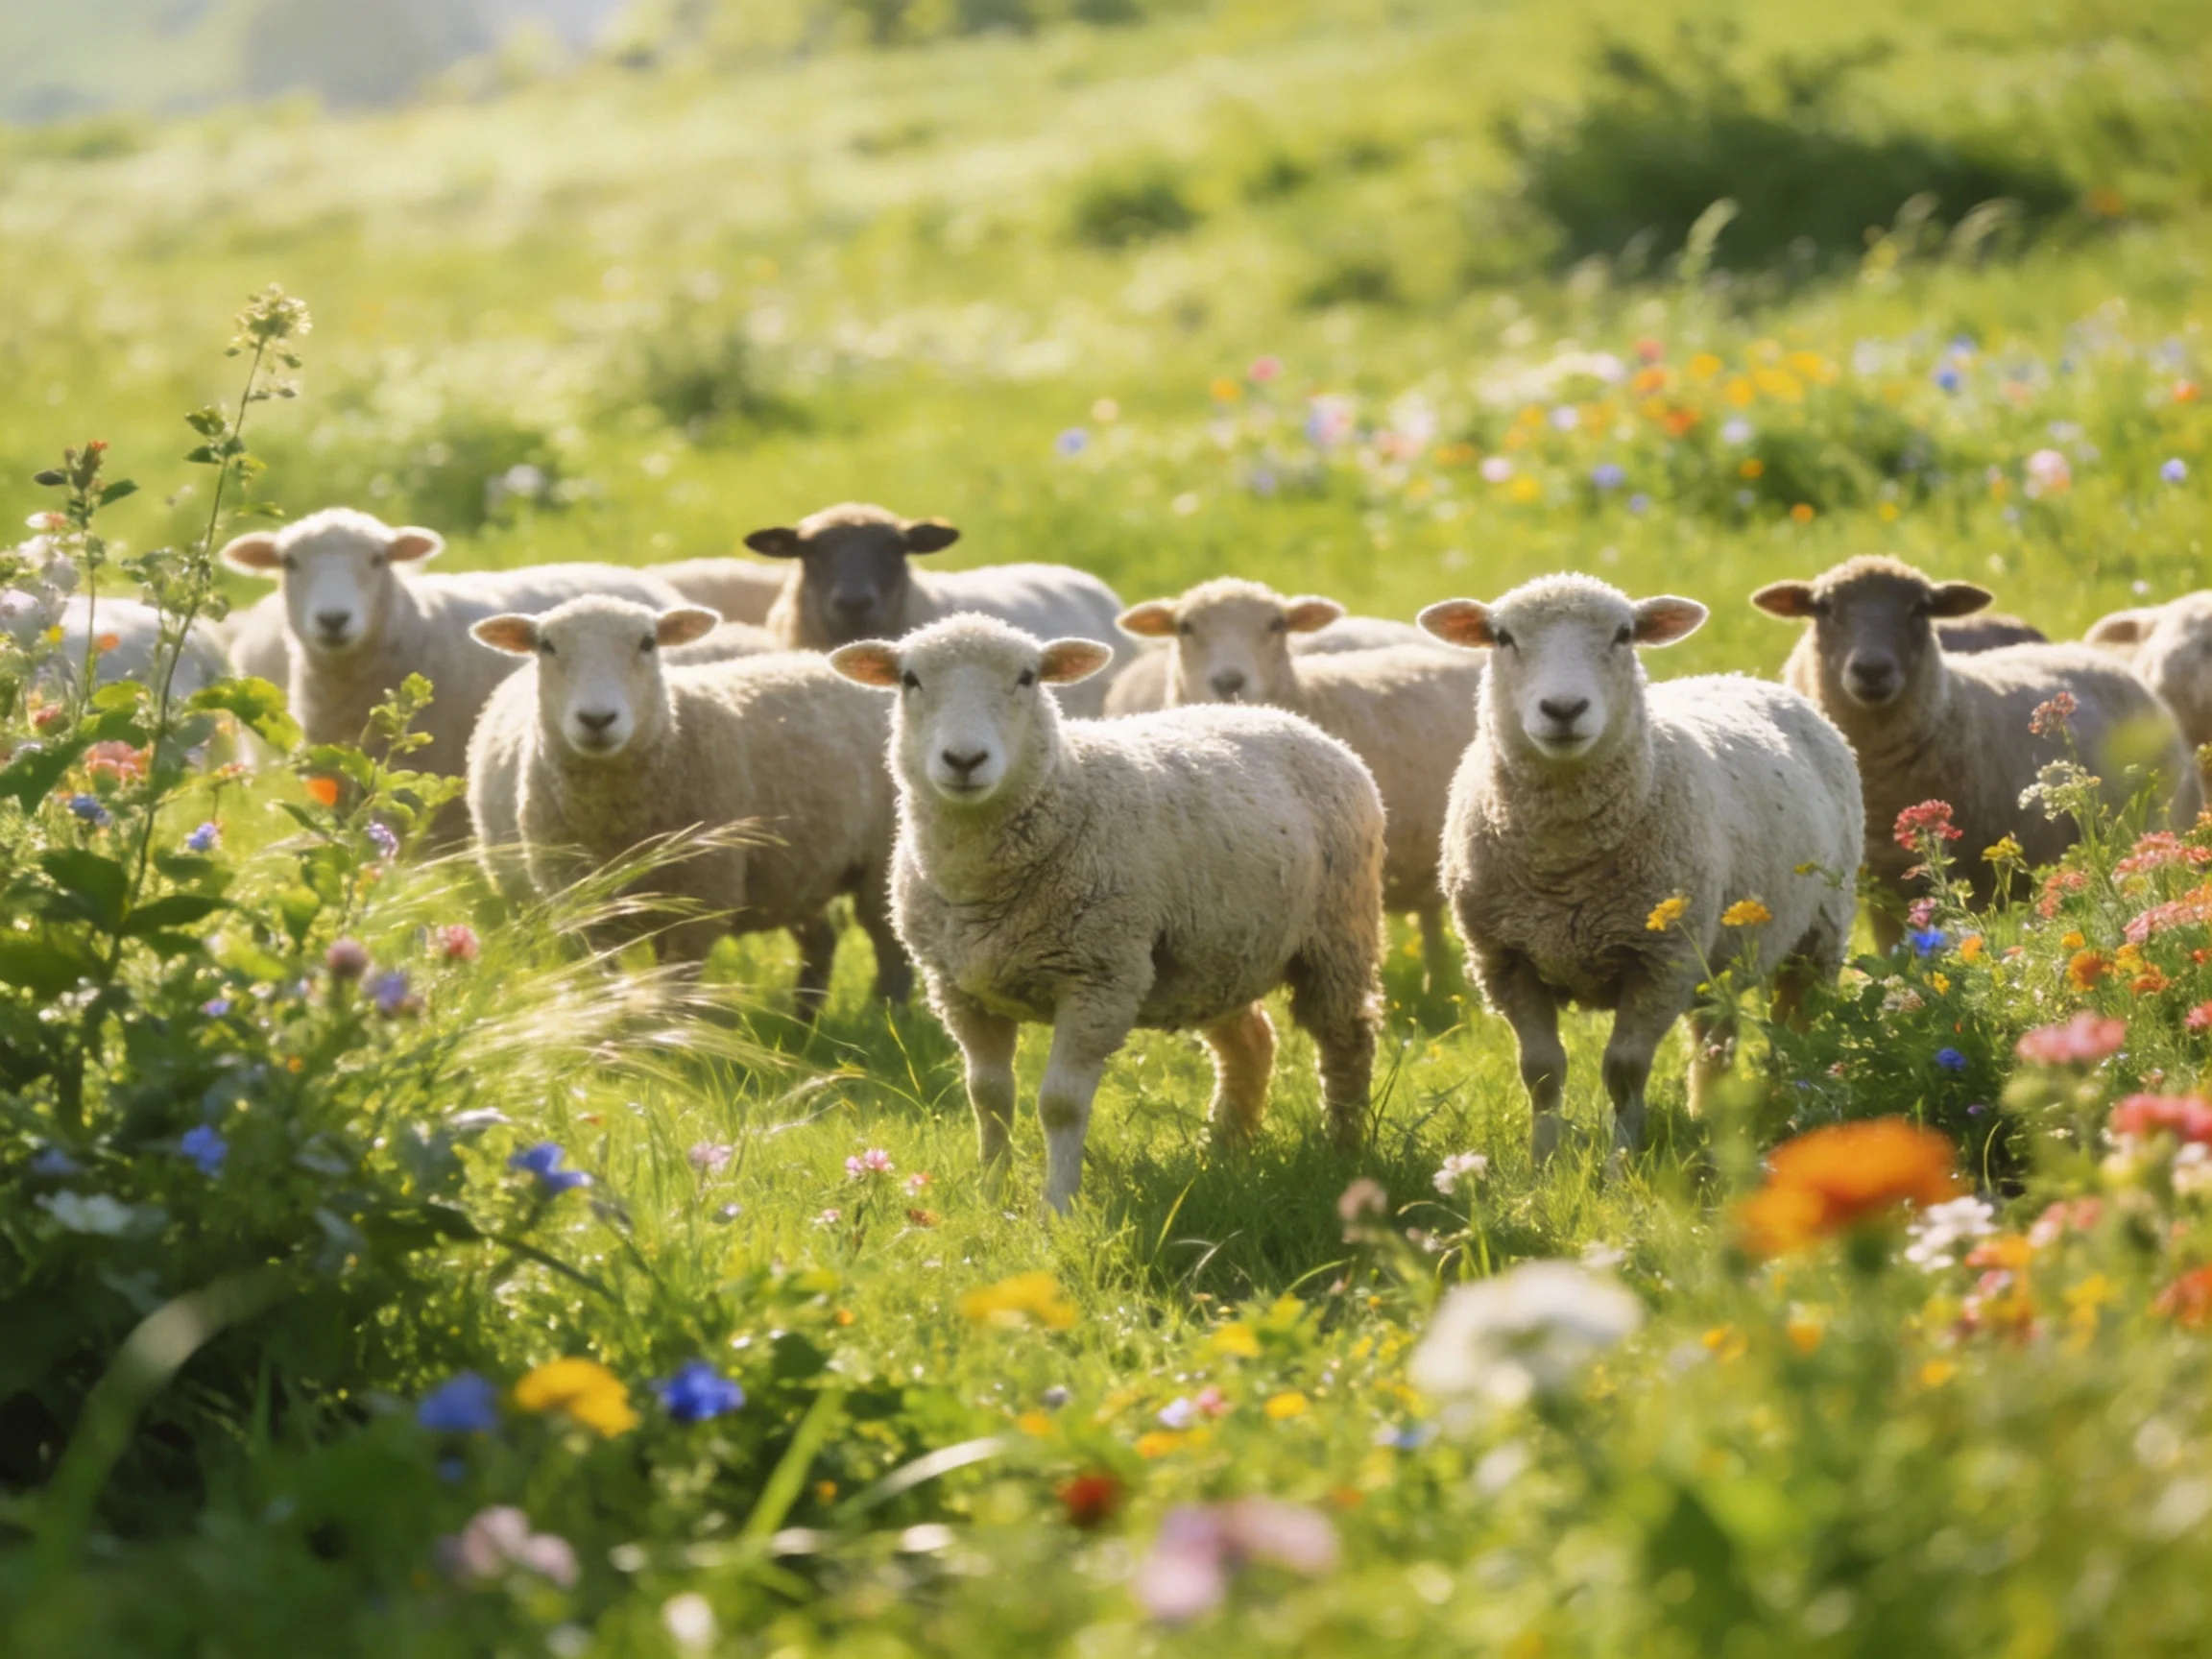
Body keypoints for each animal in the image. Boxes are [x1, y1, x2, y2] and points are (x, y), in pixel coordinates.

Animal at [465, 596, 910, 1012]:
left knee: (890, 949)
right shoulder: (584, 908)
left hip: (880, 861)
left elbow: (672, 1000)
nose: (597, 720)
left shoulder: (698, 902)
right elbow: (606, 988)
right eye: (547, 645)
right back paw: (804, 1019)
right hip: (800, 870)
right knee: (822, 939)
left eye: (648, 642)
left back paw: (887, 1016)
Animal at [827, 613, 1386, 1212]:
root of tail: (1281, 717)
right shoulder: (958, 989)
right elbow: (989, 1095)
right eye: (910, 680)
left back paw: (1342, 1152)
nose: (964, 761)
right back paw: (1224, 1150)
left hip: (1338, 935)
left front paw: (1057, 1207)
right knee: (1251, 1043)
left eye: (1027, 678)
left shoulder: (1097, 978)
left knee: (1347, 1041)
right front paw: (993, 1194)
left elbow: (1060, 1104)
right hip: (1217, 955)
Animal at [1420, 574, 1862, 1165]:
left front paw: (1620, 1164)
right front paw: (1543, 1163)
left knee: (1799, 1024)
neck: (1563, 867)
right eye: (1502, 637)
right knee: (1715, 1035)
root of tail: (1743, 679)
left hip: (1819, 932)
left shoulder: (1659, 960)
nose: (1564, 708)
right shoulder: (1504, 959)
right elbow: (1540, 1071)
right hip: (1717, 949)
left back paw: (1794, 1101)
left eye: (1624, 634)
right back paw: (1709, 1113)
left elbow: (1624, 1070)